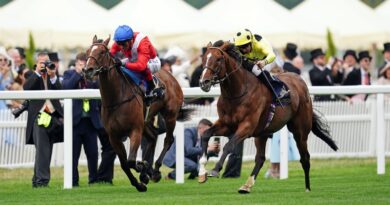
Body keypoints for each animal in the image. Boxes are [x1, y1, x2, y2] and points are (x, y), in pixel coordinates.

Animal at [84, 35, 191, 192]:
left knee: (168, 139)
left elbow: (131, 161)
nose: (88, 70)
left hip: (170, 114)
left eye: (102, 52)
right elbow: (124, 164)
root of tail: (171, 76)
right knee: (153, 137)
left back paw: (155, 170)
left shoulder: (134, 130)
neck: (116, 98)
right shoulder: (114, 136)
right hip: (145, 121)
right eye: (87, 51)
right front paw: (140, 181)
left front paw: (143, 168)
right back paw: (148, 171)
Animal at [198, 41, 338, 194]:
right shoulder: (226, 125)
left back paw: (307, 188)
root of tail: (300, 80)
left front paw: (215, 170)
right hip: (262, 133)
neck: (236, 93)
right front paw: (202, 172)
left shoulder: (247, 126)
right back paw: (246, 185)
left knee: (305, 157)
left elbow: (229, 146)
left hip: (300, 130)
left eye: (218, 59)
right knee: (260, 158)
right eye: (204, 58)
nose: (204, 82)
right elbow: (205, 134)